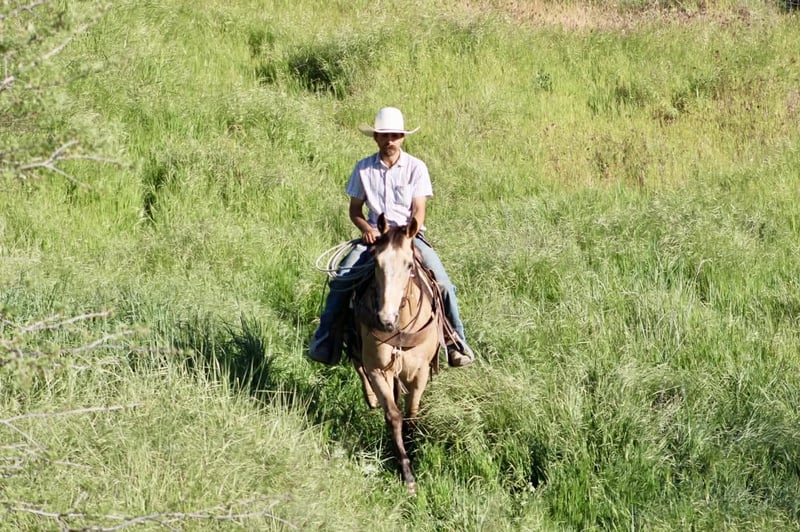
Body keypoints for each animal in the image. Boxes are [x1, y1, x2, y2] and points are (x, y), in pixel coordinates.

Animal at [350, 214, 444, 495]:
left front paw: (413, 449)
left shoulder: (420, 372)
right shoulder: (378, 369)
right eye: (376, 262)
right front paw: (406, 472)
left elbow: (411, 413)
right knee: (358, 366)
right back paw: (370, 399)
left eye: (409, 264)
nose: (385, 319)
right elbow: (393, 414)